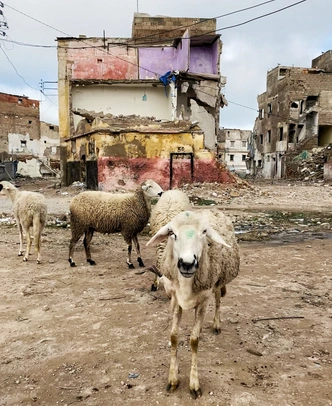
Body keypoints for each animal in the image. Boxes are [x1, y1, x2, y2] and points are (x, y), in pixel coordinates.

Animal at [147, 208, 240, 398]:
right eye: (171, 233)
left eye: (204, 232)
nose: (187, 263)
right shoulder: (175, 300)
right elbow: (174, 337)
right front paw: (173, 379)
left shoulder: (203, 301)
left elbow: (194, 341)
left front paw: (194, 383)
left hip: (217, 281)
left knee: (218, 299)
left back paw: (216, 324)